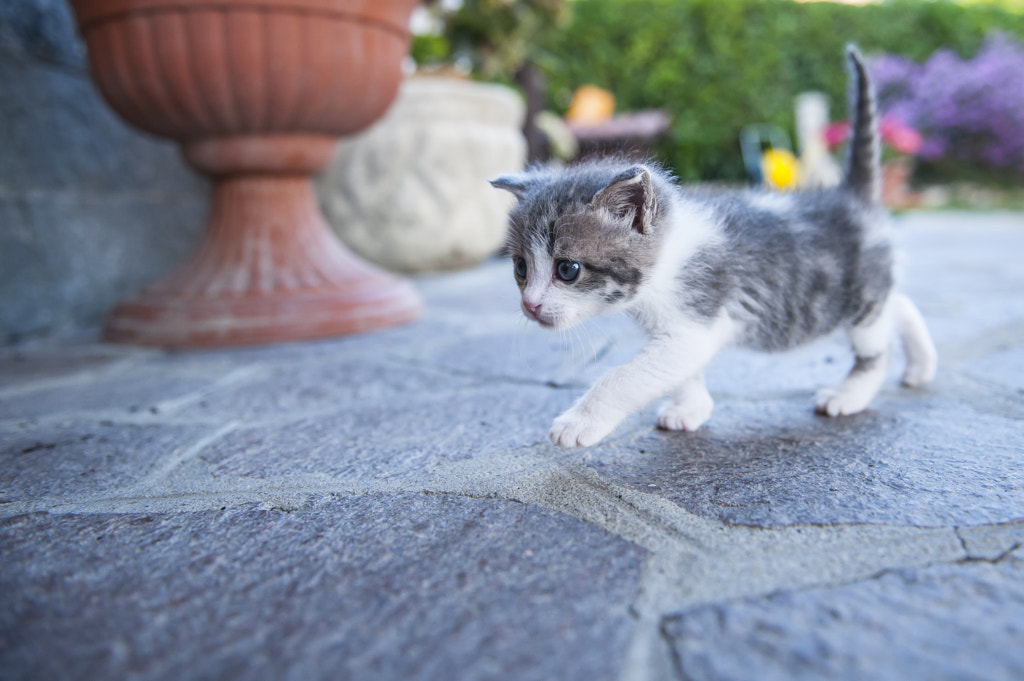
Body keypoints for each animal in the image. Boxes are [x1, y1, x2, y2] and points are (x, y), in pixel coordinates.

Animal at [487, 49, 937, 450]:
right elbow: (679, 370)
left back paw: (850, 395)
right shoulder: (680, 331)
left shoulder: (695, 317)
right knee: (899, 304)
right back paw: (921, 365)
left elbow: (626, 377)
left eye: (567, 269)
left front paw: (578, 423)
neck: (665, 267)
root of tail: (851, 197)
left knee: (878, 345)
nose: (530, 305)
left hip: (857, 301)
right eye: (521, 268)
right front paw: (691, 408)